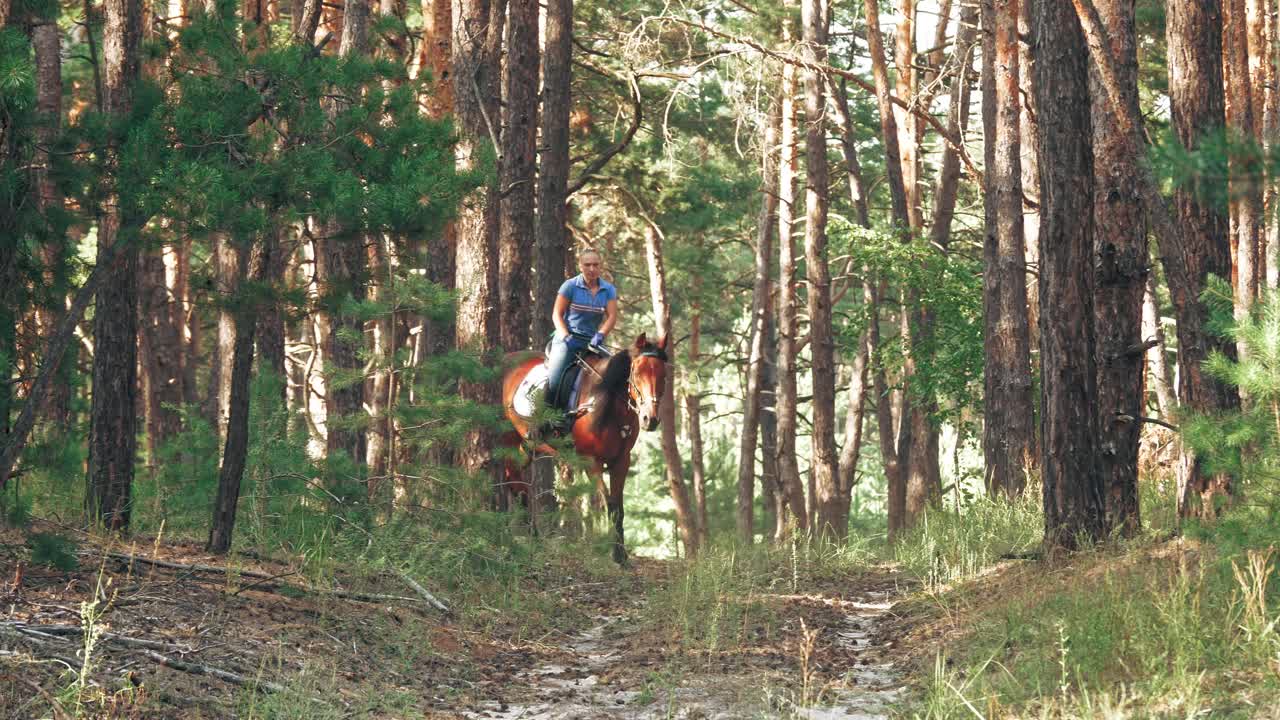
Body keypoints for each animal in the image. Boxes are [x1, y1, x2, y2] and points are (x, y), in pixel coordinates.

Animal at [499, 333, 670, 563]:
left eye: (663, 375)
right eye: (637, 372)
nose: (649, 419)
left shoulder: (621, 461)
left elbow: (618, 507)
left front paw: (622, 554)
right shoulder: (591, 461)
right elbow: (608, 503)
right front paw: (615, 554)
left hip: (527, 445)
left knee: (516, 480)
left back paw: (532, 536)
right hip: (508, 437)